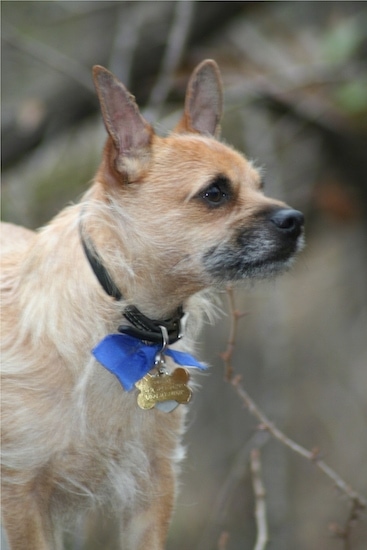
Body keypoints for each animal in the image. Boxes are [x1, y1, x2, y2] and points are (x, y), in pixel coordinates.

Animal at [0, 60, 304, 550]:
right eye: (215, 193)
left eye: (261, 186)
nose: (297, 220)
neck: (124, 317)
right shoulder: (23, 496)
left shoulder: (153, 487)